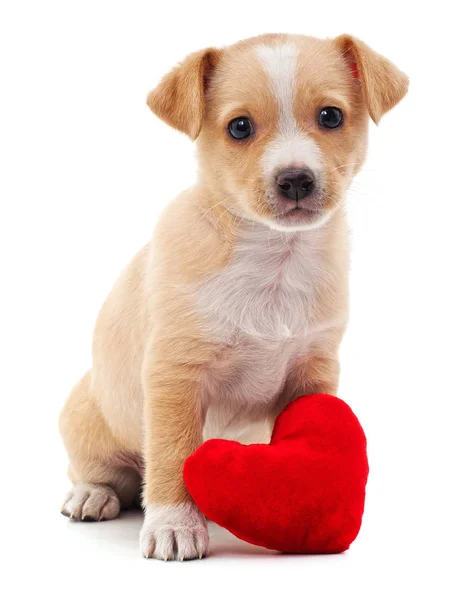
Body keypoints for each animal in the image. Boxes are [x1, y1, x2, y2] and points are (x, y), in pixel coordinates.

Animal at [58, 34, 408, 556]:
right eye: (239, 127)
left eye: (330, 116)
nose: (295, 179)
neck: (273, 260)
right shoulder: (175, 376)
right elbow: (172, 454)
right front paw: (174, 524)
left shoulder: (313, 372)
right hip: (89, 422)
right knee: (98, 470)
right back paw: (91, 494)